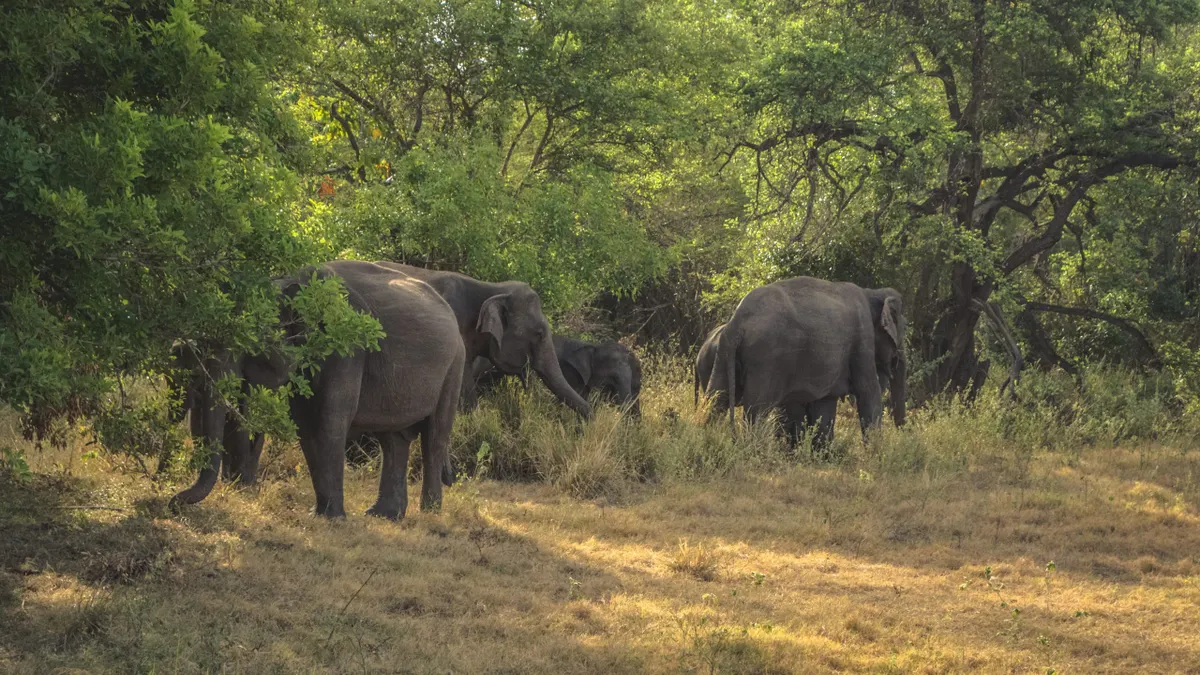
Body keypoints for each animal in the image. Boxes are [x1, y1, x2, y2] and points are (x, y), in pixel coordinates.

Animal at [171, 260, 465, 519]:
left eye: (247, 344)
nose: (174, 501)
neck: (289, 282)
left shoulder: (345, 347)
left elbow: (329, 421)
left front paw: (333, 519)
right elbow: (306, 424)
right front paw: (320, 514)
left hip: (454, 368)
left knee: (434, 437)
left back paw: (429, 514)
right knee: (393, 440)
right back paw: (384, 515)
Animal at [705, 277, 906, 451]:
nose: (903, 435)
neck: (871, 292)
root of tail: (736, 325)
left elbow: (824, 404)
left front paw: (822, 455)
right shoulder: (862, 339)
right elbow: (867, 391)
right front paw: (876, 454)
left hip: (724, 353)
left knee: (716, 398)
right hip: (765, 359)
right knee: (757, 409)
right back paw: (755, 452)